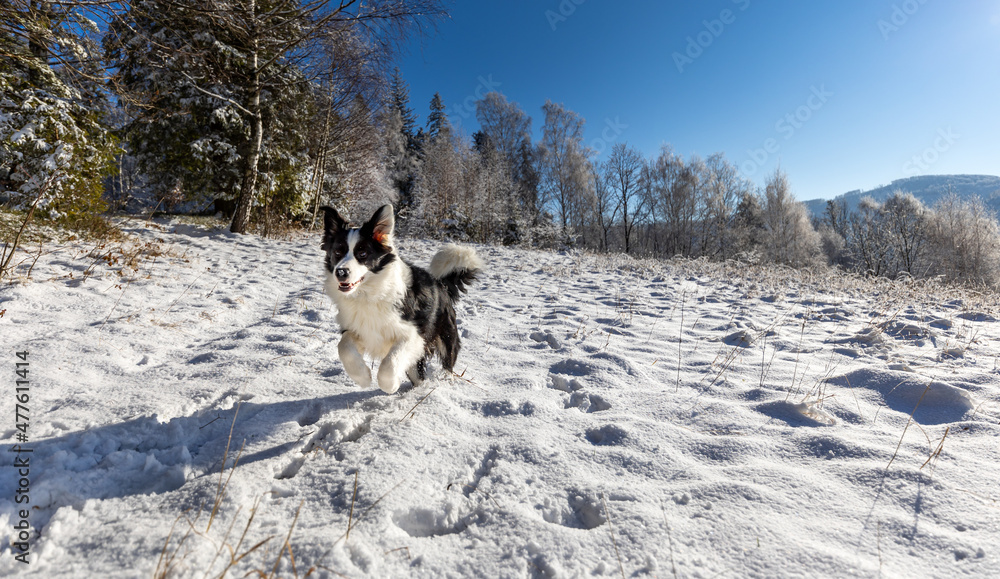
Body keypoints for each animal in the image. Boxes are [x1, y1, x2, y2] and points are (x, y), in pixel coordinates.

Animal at [316, 204, 480, 394]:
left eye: (362, 253)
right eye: (337, 252)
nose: (341, 272)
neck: (369, 293)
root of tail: (442, 284)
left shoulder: (413, 334)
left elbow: (391, 361)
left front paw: (390, 385)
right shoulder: (358, 328)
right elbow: (343, 347)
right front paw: (362, 377)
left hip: (446, 337)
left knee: (446, 364)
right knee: (418, 375)